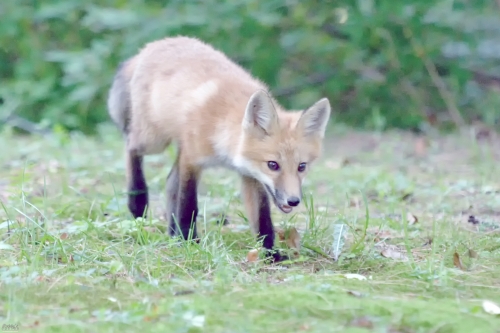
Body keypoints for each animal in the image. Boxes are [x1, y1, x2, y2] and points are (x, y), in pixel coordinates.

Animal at [107, 35, 330, 260]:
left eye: (302, 167)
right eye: (273, 165)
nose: (293, 201)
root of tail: (153, 45)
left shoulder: (249, 175)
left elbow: (262, 219)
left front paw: (270, 254)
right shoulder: (192, 159)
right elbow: (189, 205)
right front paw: (189, 242)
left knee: (169, 183)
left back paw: (171, 232)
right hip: (154, 140)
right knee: (131, 147)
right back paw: (137, 201)